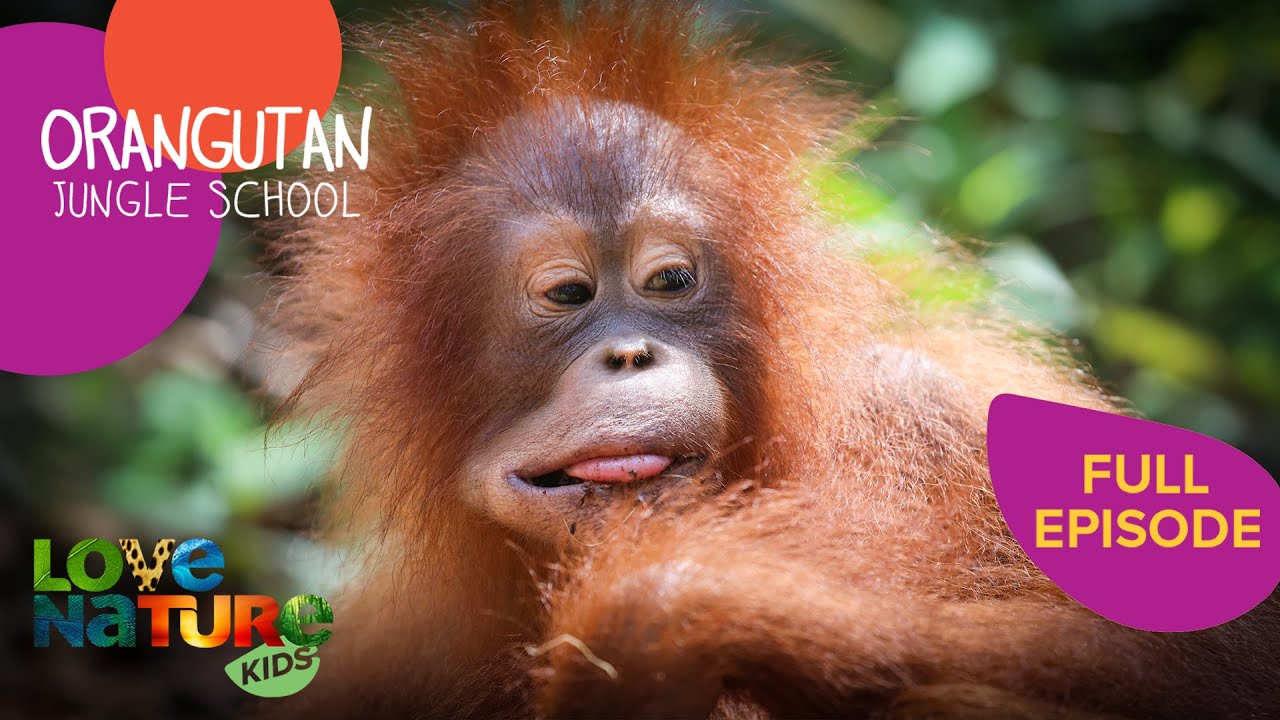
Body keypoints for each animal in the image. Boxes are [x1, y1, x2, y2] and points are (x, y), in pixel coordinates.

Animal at [261, 1, 1280, 718]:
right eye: (567, 295)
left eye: (671, 280)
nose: (631, 353)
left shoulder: (918, 400)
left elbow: (1189, 660)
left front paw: (652, 619)